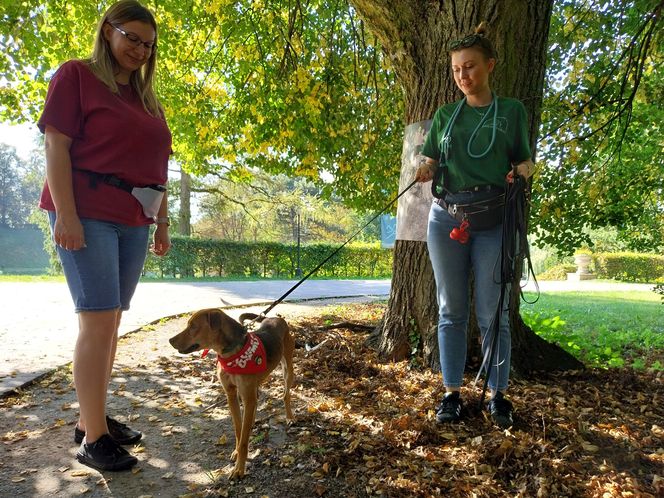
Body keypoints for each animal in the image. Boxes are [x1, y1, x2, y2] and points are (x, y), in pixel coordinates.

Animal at [170, 310, 294, 476]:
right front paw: (236, 452)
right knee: (256, 402)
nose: (170, 340)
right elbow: (239, 429)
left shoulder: (246, 396)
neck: (231, 355)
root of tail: (274, 318)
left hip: (287, 369)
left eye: (193, 326)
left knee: (285, 395)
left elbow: (244, 438)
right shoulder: (231, 394)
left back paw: (289, 417)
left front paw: (239, 468)